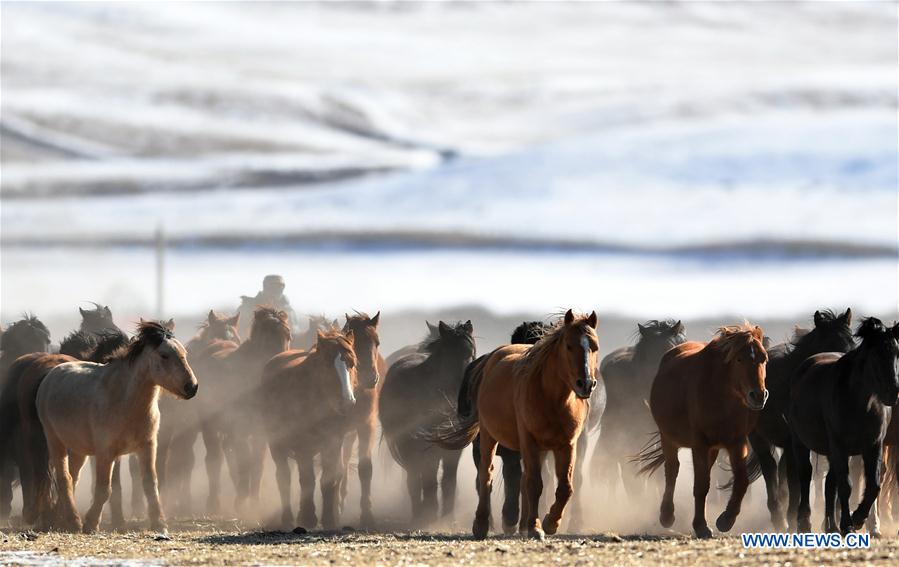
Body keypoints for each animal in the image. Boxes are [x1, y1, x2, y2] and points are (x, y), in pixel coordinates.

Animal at [260, 326, 358, 532]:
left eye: (352, 364)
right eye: (327, 364)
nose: (347, 402)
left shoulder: (333, 443)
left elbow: (329, 480)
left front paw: (329, 519)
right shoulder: (303, 448)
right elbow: (307, 481)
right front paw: (307, 517)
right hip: (277, 445)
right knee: (284, 478)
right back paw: (288, 518)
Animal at [436, 312, 596, 540]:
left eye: (594, 347)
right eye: (568, 346)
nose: (586, 384)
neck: (551, 398)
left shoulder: (565, 444)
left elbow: (563, 487)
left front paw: (548, 523)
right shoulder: (523, 444)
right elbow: (527, 482)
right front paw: (527, 525)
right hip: (487, 439)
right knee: (486, 475)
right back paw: (483, 524)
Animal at [636, 322, 768, 540]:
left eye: (763, 358)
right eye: (739, 359)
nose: (758, 395)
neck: (721, 395)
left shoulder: (736, 442)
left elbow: (741, 480)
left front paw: (726, 520)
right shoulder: (699, 444)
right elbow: (701, 485)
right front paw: (701, 526)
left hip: (713, 449)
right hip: (668, 439)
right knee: (672, 470)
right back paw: (667, 515)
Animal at [748, 308, 856, 532]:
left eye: (852, 345)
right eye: (829, 344)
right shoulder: (794, 443)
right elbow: (796, 480)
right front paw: (797, 520)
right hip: (760, 438)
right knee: (771, 469)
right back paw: (779, 518)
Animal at [792, 320, 896, 536]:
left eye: (896, 352)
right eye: (876, 354)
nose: (893, 392)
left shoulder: (874, 445)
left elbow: (873, 485)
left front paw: (857, 519)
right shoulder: (839, 446)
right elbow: (846, 486)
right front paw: (849, 524)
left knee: (830, 483)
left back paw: (831, 526)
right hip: (801, 442)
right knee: (806, 475)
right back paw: (804, 523)